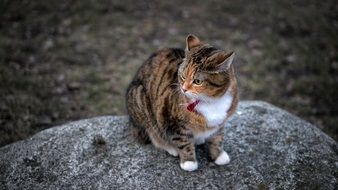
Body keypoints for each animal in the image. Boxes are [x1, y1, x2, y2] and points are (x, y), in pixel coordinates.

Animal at [125, 34, 239, 172]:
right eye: (183, 76)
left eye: (198, 81)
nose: (183, 89)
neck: (211, 101)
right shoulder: (172, 121)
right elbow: (183, 141)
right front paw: (189, 161)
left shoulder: (221, 121)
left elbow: (217, 138)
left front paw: (218, 155)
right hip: (141, 102)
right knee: (154, 134)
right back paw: (171, 147)